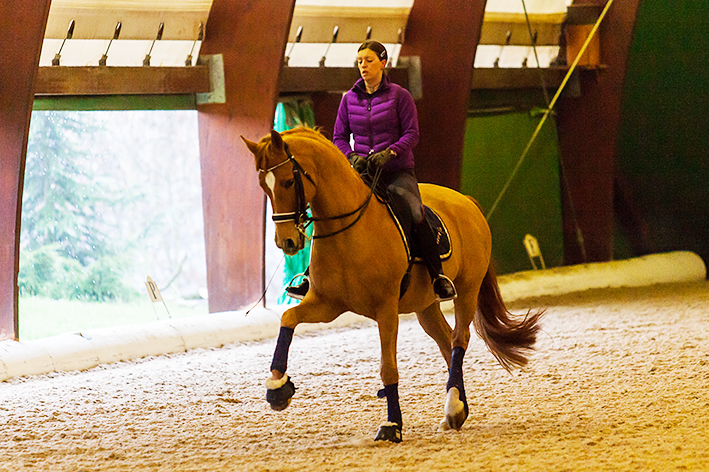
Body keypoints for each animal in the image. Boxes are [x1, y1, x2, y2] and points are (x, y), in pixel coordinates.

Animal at [243, 126, 544, 442]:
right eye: (264, 187)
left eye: (288, 181)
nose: (286, 242)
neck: (348, 232)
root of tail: (465, 201)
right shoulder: (326, 304)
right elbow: (288, 319)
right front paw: (278, 388)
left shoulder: (385, 309)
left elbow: (388, 368)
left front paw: (392, 425)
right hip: (425, 305)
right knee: (445, 340)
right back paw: (457, 410)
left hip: (467, 289)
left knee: (459, 339)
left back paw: (453, 406)